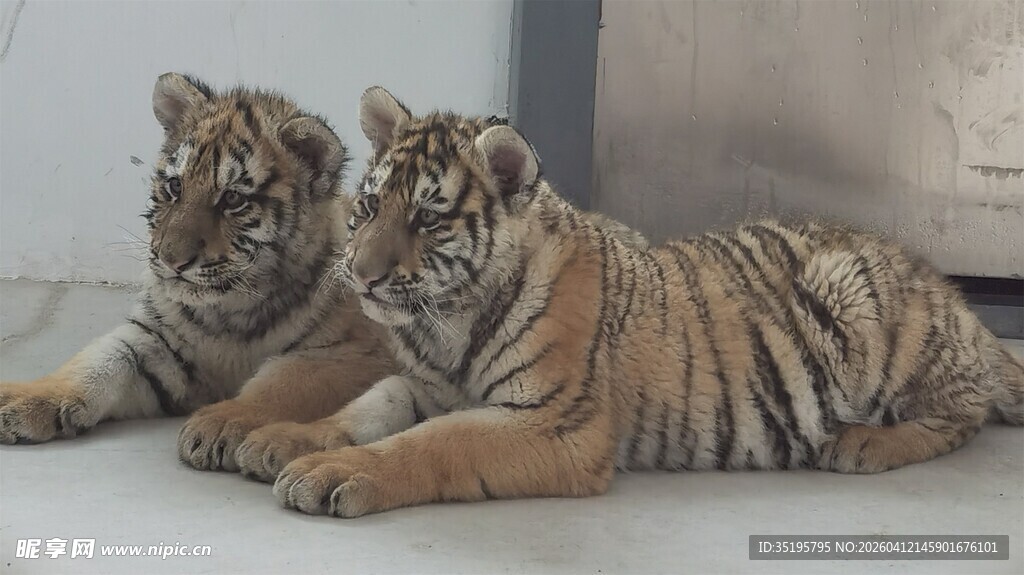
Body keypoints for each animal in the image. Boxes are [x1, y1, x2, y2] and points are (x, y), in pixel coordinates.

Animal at [0, 73, 395, 474]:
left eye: (233, 199)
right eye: (175, 186)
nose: (170, 259)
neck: (229, 310)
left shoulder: (353, 356)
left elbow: (284, 382)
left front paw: (219, 424)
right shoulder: (153, 340)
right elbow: (95, 363)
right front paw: (25, 398)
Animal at [243, 86, 1024, 519]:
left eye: (429, 220)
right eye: (371, 206)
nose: (360, 274)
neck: (447, 322)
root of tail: (944, 284)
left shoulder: (557, 421)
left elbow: (434, 443)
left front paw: (337, 472)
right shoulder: (424, 383)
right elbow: (365, 407)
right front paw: (283, 438)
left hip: (861, 301)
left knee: (964, 412)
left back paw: (863, 443)